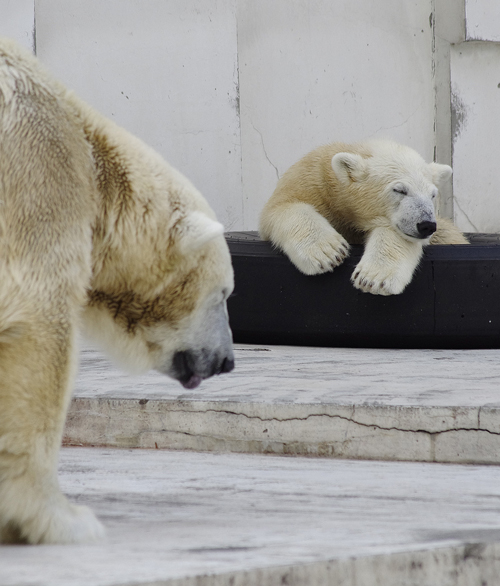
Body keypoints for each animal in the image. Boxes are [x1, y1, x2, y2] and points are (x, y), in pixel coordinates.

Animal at [260, 139, 466, 294]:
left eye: (432, 195)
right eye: (400, 190)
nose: (426, 225)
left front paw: (373, 278)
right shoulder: (311, 178)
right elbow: (282, 207)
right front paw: (328, 252)